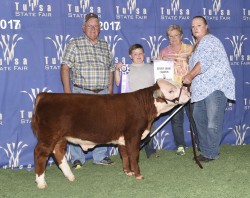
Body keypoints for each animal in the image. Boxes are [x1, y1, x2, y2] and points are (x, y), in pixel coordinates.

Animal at [32, 79, 190, 189]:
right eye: (171, 91)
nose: (188, 93)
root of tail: (45, 95)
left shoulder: (122, 138)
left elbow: (125, 155)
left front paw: (128, 172)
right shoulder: (133, 134)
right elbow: (134, 155)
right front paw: (138, 175)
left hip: (59, 138)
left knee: (58, 153)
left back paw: (70, 176)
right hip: (48, 136)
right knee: (40, 154)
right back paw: (41, 182)